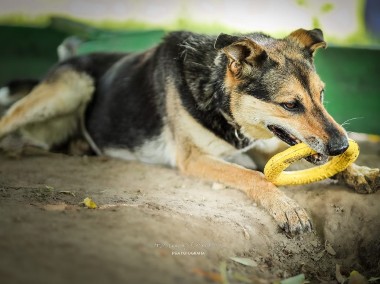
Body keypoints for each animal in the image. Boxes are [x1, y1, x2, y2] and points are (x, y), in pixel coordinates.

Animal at [0, 28, 380, 233]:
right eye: (290, 105)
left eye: (322, 95)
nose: (342, 145)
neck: (217, 94)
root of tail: (66, 58)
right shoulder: (193, 158)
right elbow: (255, 177)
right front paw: (288, 208)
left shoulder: (255, 144)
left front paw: (358, 171)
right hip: (69, 88)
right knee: (9, 122)